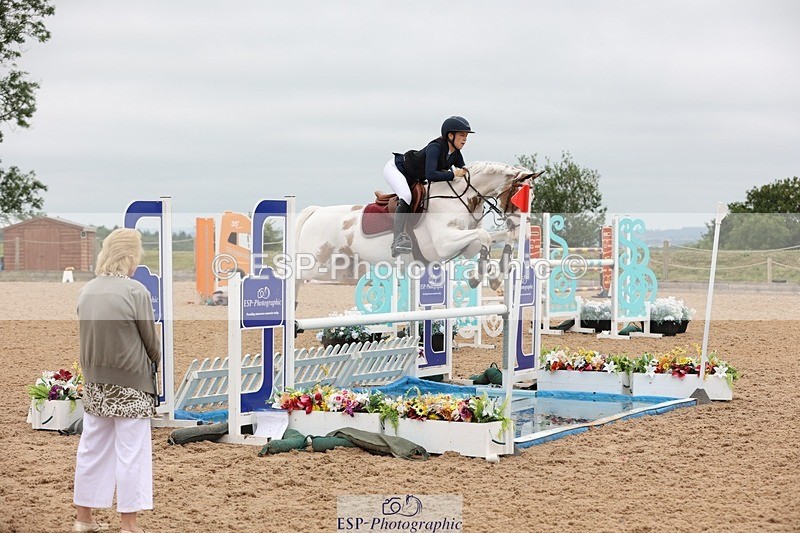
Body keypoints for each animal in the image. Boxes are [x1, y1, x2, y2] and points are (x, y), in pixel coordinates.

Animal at [295, 161, 539, 289]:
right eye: (519, 197)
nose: (524, 230)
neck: (460, 198)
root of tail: (315, 211)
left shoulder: (466, 246)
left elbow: (496, 237)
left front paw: (498, 274)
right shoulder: (444, 244)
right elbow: (484, 235)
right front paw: (477, 277)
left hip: (339, 269)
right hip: (315, 263)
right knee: (294, 277)